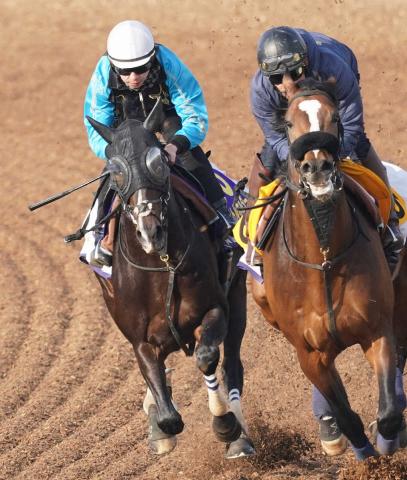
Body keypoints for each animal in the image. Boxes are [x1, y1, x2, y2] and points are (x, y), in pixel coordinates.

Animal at [86, 107, 255, 460]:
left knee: (232, 364)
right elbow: (167, 416)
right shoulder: (140, 342)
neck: (159, 266)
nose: (150, 231)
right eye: (116, 172)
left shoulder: (215, 308)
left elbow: (207, 357)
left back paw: (240, 437)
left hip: (238, 298)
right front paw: (159, 427)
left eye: (160, 162)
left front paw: (225, 424)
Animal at [255, 76, 404, 462]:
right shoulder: (309, 354)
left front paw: (387, 444)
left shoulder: (377, 329)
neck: (322, 260)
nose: (318, 167)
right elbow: (347, 416)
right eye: (288, 123)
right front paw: (366, 461)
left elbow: (387, 412)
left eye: (335, 117)